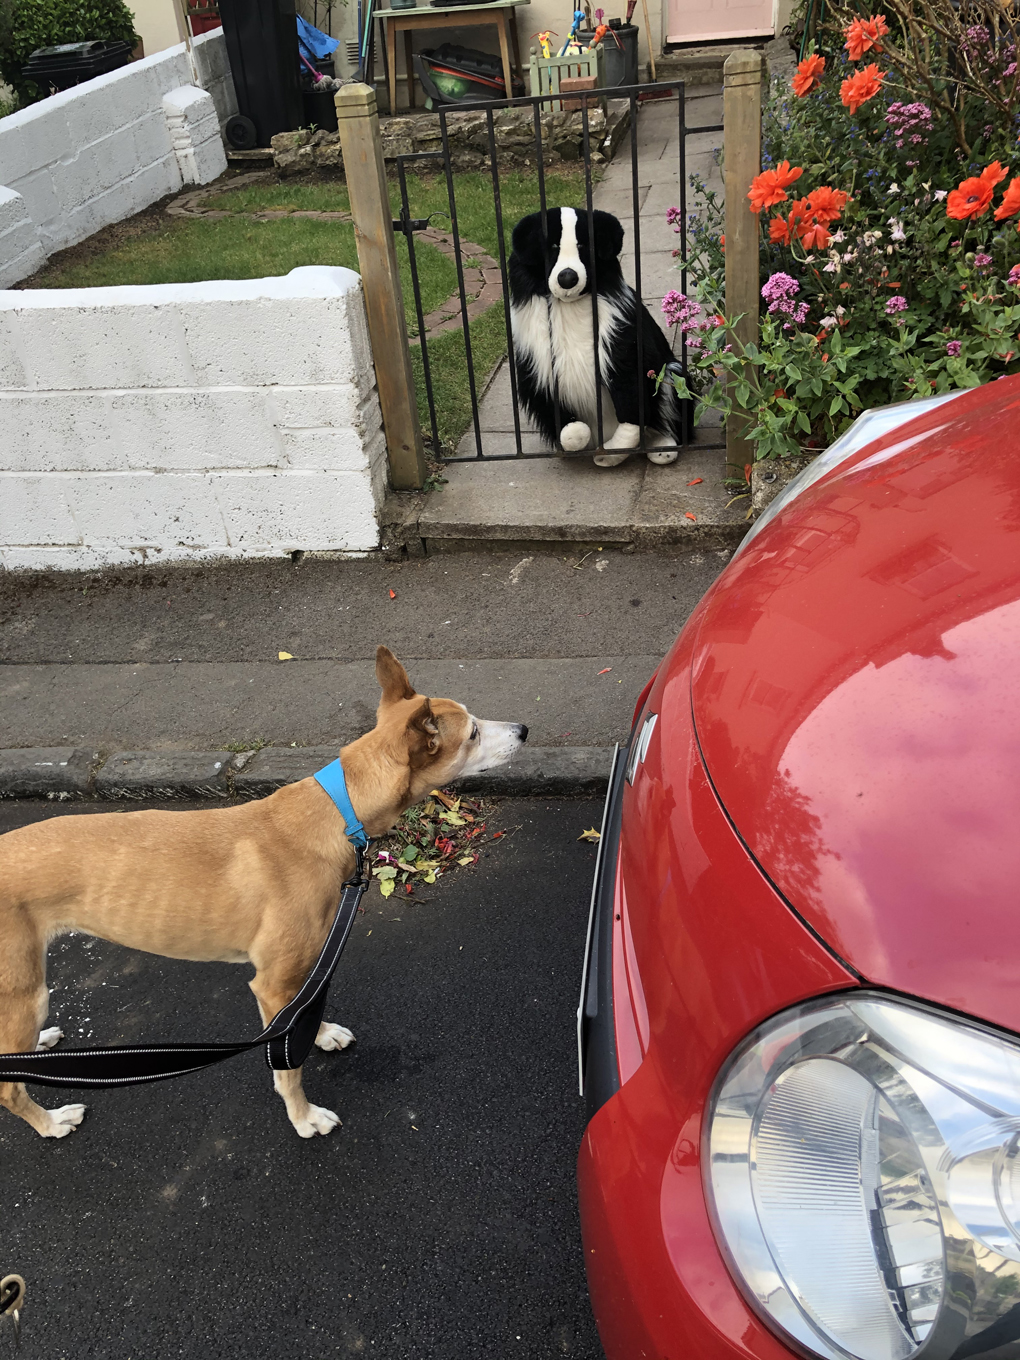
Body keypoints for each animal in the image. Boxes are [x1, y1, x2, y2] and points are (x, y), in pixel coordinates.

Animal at [0, 652, 527, 1142]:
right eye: (473, 732)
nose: (524, 729)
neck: (337, 809)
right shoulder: (273, 982)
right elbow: (287, 1064)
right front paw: (303, 1117)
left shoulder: (302, 970)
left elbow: (304, 1017)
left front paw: (322, 1034)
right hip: (24, 991)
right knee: (9, 1088)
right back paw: (50, 1123)